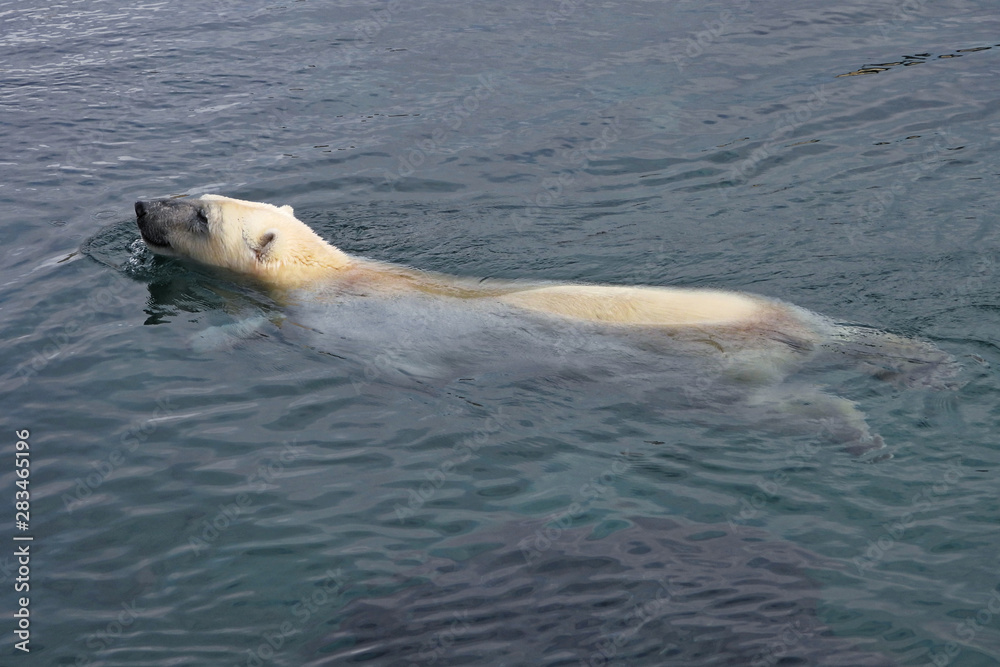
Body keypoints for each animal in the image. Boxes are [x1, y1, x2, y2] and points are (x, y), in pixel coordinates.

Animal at [134, 194, 959, 456]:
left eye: (200, 214)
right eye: (196, 194)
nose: (141, 205)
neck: (334, 273)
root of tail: (784, 332)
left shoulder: (344, 327)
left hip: (715, 374)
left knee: (782, 406)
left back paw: (860, 431)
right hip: (762, 305)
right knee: (837, 331)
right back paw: (923, 361)